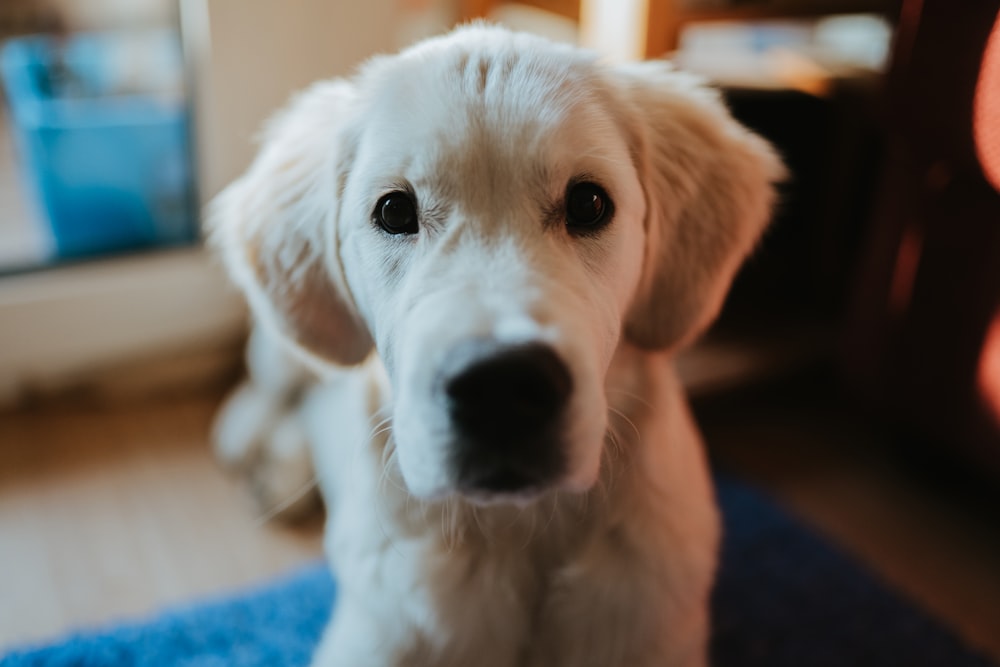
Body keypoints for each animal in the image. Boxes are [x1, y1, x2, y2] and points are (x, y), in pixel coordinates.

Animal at [213, 23, 780, 667]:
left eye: (589, 203)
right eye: (394, 210)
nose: (500, 388)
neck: (519, 533)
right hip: (281, 347)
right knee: (275, 383)